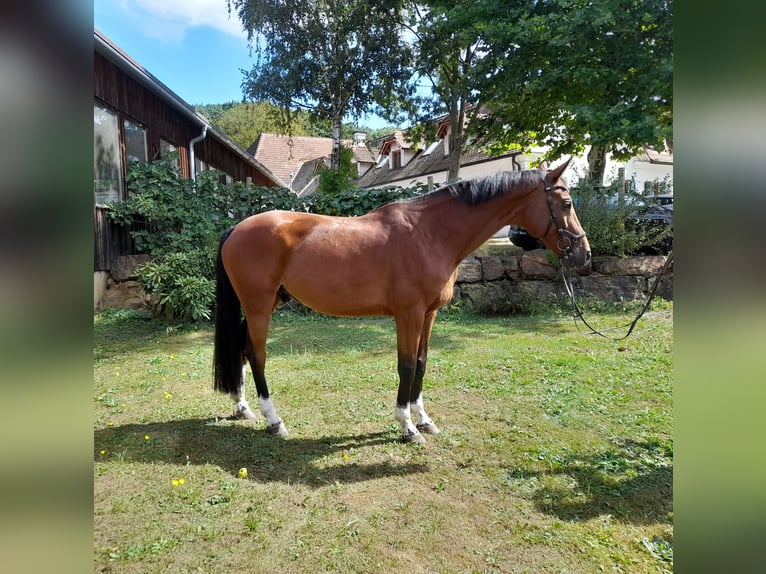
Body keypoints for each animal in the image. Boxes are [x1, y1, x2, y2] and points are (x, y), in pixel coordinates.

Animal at [213, 160, 592, 448]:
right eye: (567, 204)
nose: (584, 254)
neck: (430, 233)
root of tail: (236, 228)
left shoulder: (429, 314)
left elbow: (422, 364)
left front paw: (424, 419)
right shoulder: (408, 315)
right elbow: (407, 366)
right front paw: (407, 426)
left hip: (265, 305)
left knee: (242, 351)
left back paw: (243, 407)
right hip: (259, 306)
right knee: (257, 355)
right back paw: (274, 420)